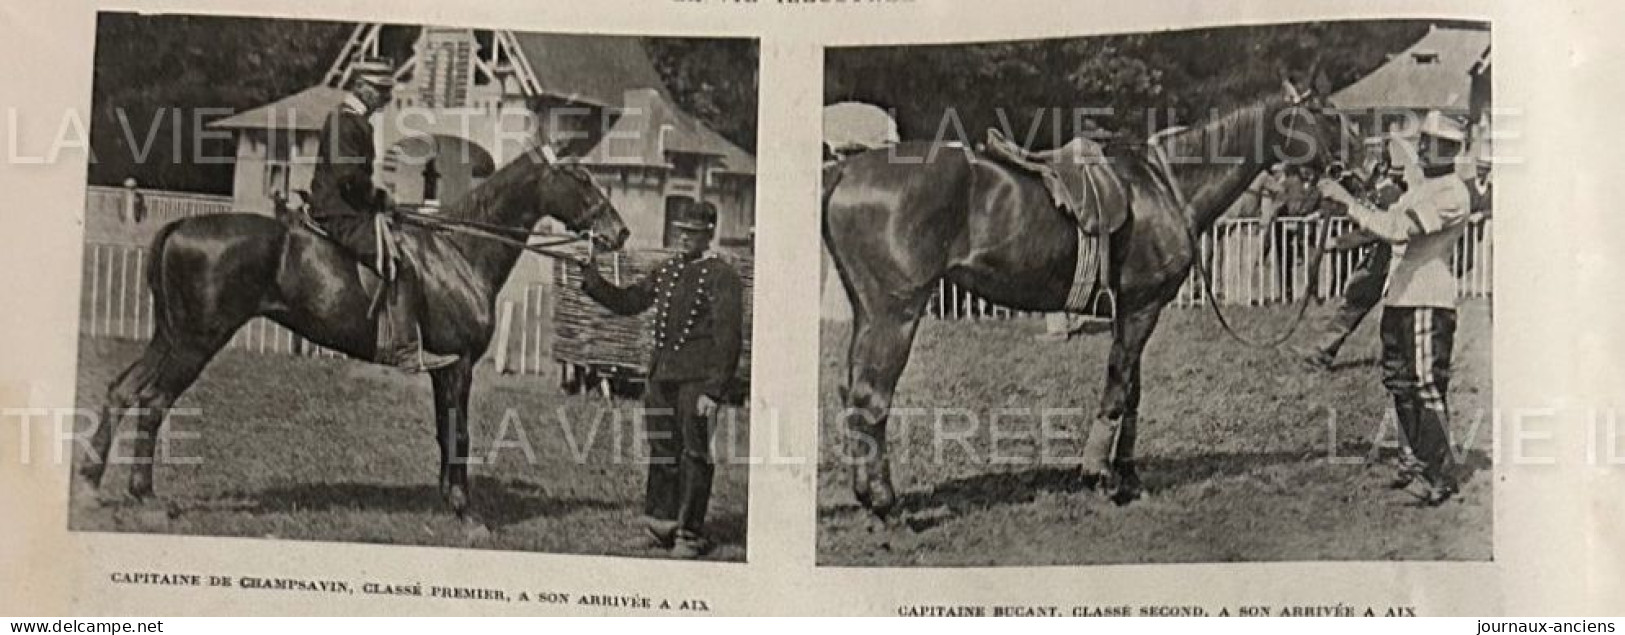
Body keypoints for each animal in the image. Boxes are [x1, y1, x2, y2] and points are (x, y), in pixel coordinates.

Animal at [79, 149, 630, 522]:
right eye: (582, 178)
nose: (619, 232)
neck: (459, 250)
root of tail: (181, 225)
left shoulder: (444, 370)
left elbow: (443, 429)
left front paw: (444, 497)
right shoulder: (460, 365)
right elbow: (460, 432)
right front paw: (462, 507)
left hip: (170, 337)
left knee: (122, 390)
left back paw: (91, 479)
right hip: (196, 342)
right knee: (153, 401)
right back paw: (143, 493)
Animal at [819, 83, 1352, 522]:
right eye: (1325, 114)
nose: (1355, 169)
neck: (1165, 185)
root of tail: (846, 167)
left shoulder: (1132, 310)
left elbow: (1132, 393)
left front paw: (1129, 477)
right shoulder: (1140, 309)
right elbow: (1117, 389)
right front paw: (1101, 476)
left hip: (869, 312)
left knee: (854, 394)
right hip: (896, 313)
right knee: (870, 397)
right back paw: (886, 505)